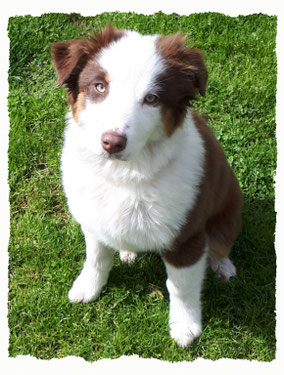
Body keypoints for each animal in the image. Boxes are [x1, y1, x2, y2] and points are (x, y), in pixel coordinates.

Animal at [51, 26, 242, 348]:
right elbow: (96, 257)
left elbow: (181, 286)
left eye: (152, 98)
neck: (126, 174)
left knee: (220, 243)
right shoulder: (93, 218)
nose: (111, 142)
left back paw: (223, 267)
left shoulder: (187, 235)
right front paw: (87, 288)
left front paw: (185, 327)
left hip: (228, 208)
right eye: (100, 86)